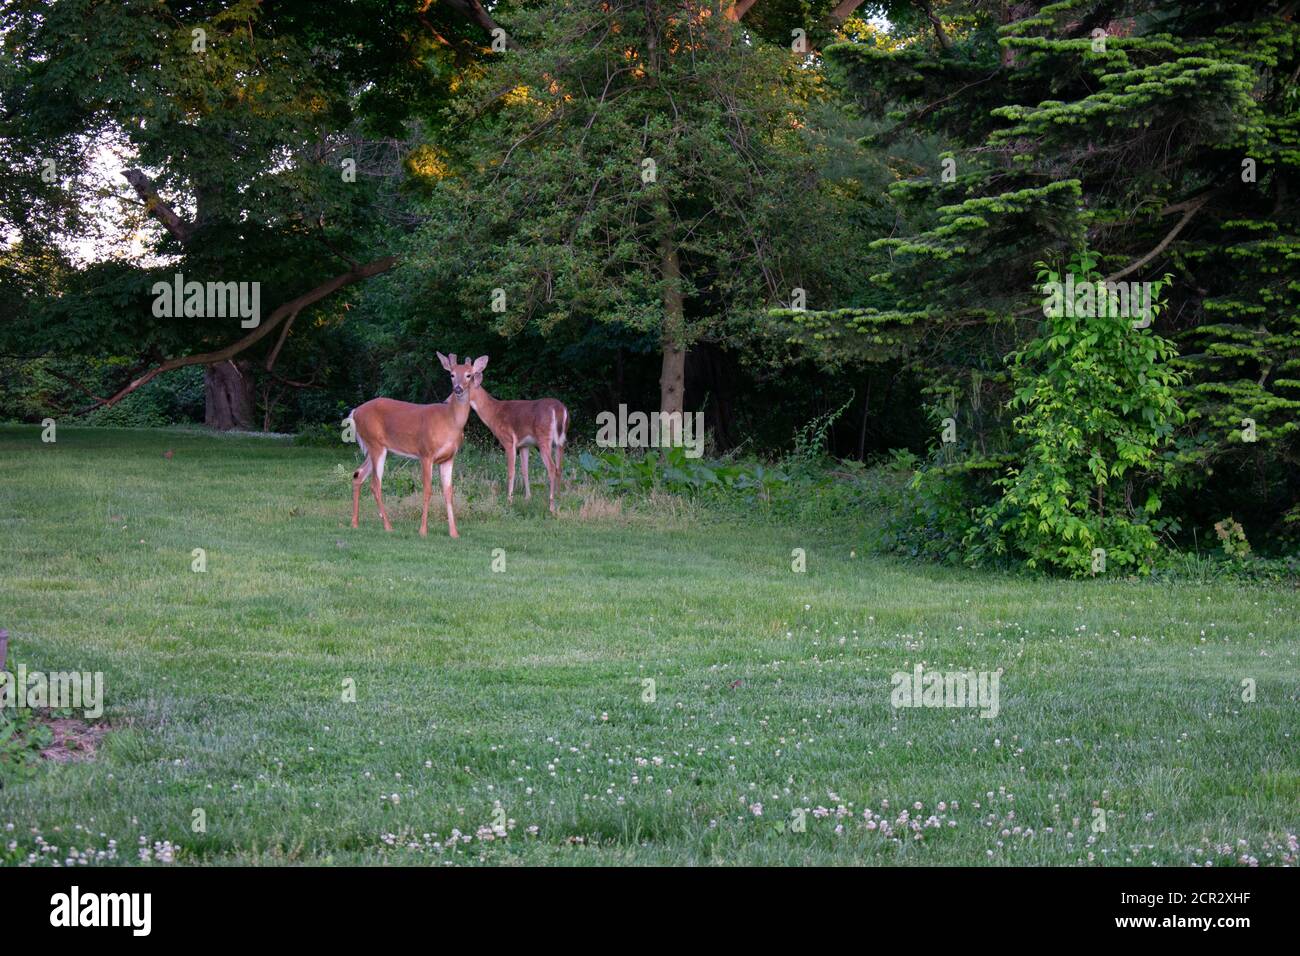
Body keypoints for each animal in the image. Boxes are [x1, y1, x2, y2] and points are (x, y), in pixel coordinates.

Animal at [348, 353, 487, 538]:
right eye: (451, 375)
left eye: (469, 375)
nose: (458, 389)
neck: (450, 421)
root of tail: (355, 412)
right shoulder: (426, 453)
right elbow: (427, 490)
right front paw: (422, 530)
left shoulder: (449, 458)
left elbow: (448, 492)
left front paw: (454, 533)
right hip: (375, 444)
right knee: (375, 484)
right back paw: (388, 526)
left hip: (376, 447)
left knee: (358, 474)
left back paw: (355, 523)